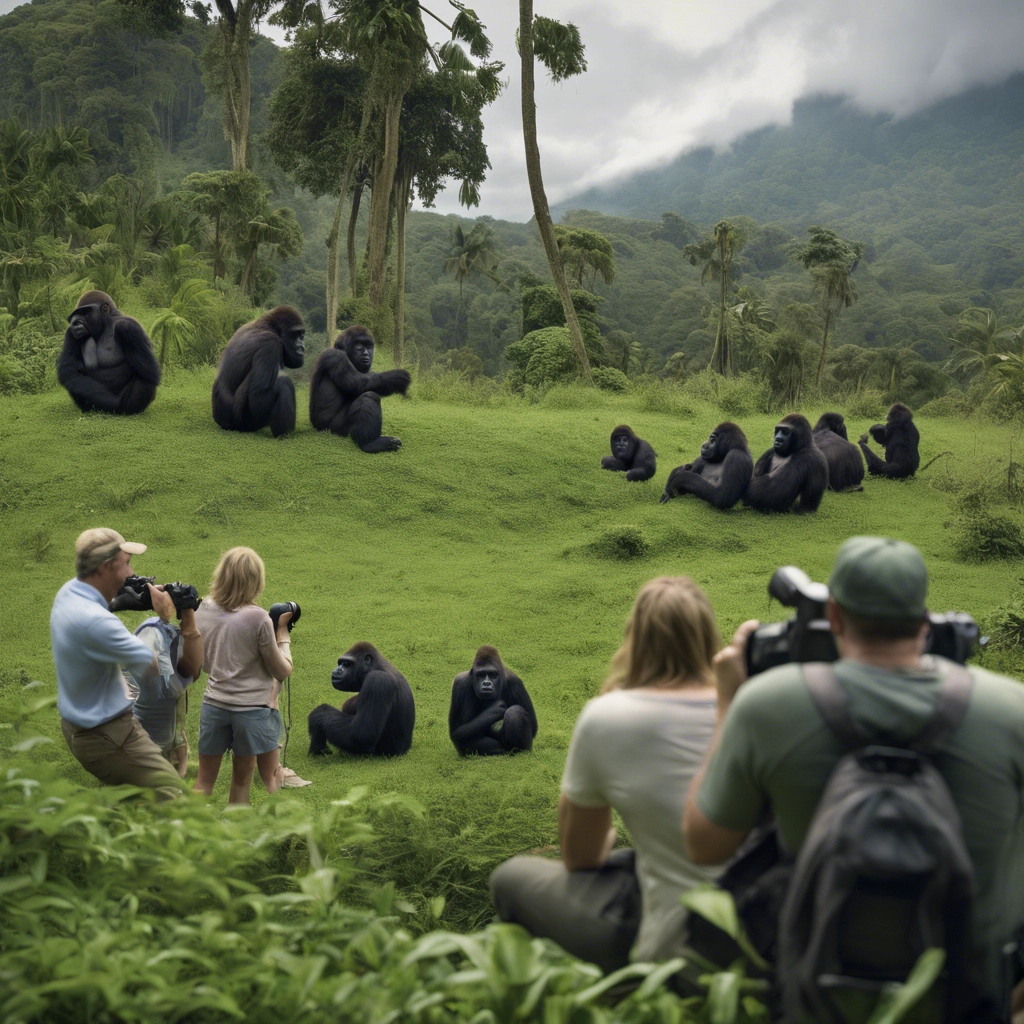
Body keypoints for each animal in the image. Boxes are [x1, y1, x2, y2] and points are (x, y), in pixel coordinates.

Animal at [208, 301, 301, 434]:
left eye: (302, 334)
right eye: (295, 334)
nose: (301, 347)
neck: (267, 326)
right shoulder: (270, 345)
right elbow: (257, 401)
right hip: (244, 423)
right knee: (283, 383)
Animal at [307, 325, 411, 454]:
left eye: (369, 346)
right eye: (359, 345)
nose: (366, 353)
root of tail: (316, 427)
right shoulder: (336, 357)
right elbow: (357, 384)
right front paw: (396, 378)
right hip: (333, 429)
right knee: (369, 397)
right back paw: (369, 443)